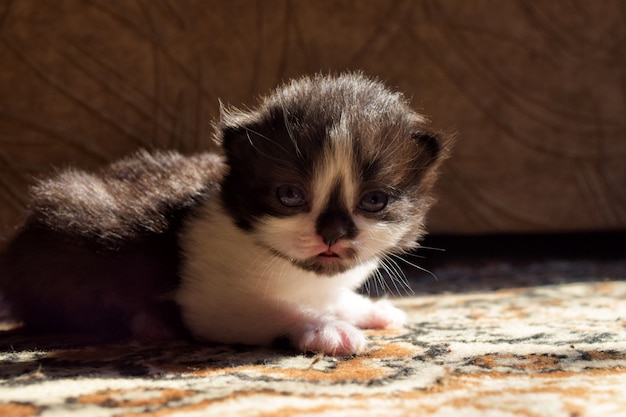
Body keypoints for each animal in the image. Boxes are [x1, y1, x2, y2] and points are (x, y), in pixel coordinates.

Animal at [1, 73, 448, 352]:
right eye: (290, 195)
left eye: (374, 201)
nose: (332, 233)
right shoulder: (209, 297)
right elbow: (268, 309)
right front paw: (325, 329)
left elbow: (330, 295)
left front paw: (364, 309)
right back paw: (149, 323)